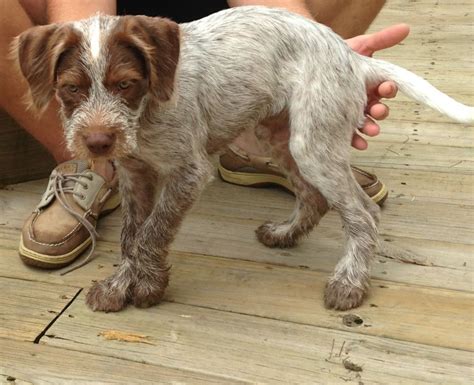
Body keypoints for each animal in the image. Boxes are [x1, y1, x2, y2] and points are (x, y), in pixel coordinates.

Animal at [12, 6, 472, 312]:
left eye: (125, 84)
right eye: (71, 89)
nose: (97, 143)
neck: (146, 115)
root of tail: (351, 56)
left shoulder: (189, 173)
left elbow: (151, 235)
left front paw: (148, 287)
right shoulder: (135, 174)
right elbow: (131, 236)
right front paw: (119, 285)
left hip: (313, 142)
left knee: (363, 215)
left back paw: (349, 283)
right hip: (279, 136)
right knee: (314, 197)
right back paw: (285, 234)